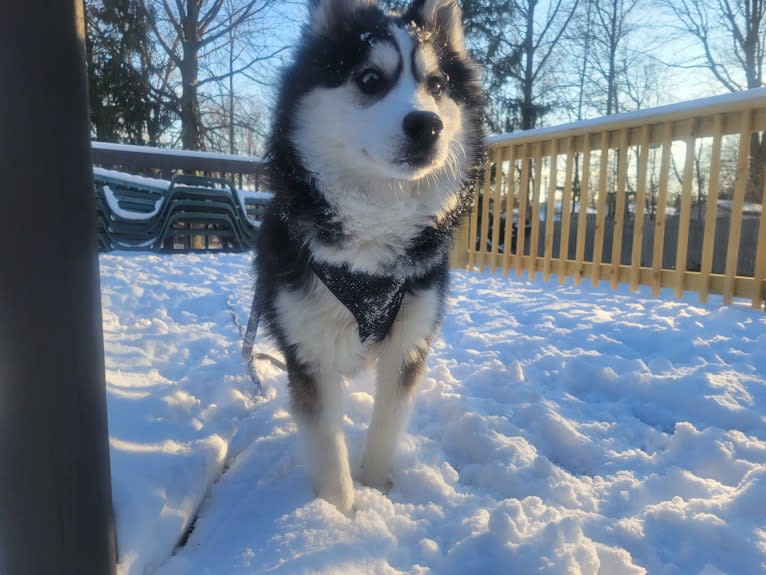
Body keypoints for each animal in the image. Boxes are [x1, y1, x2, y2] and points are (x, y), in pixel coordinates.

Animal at [258, 0, 486, 512]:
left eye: (436, 84)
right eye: (369, 79)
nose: (426, 125)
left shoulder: (409, 341)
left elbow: (386, 425)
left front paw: (377, 488)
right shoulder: (311, 352)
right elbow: (328, 448)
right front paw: (339, 516)